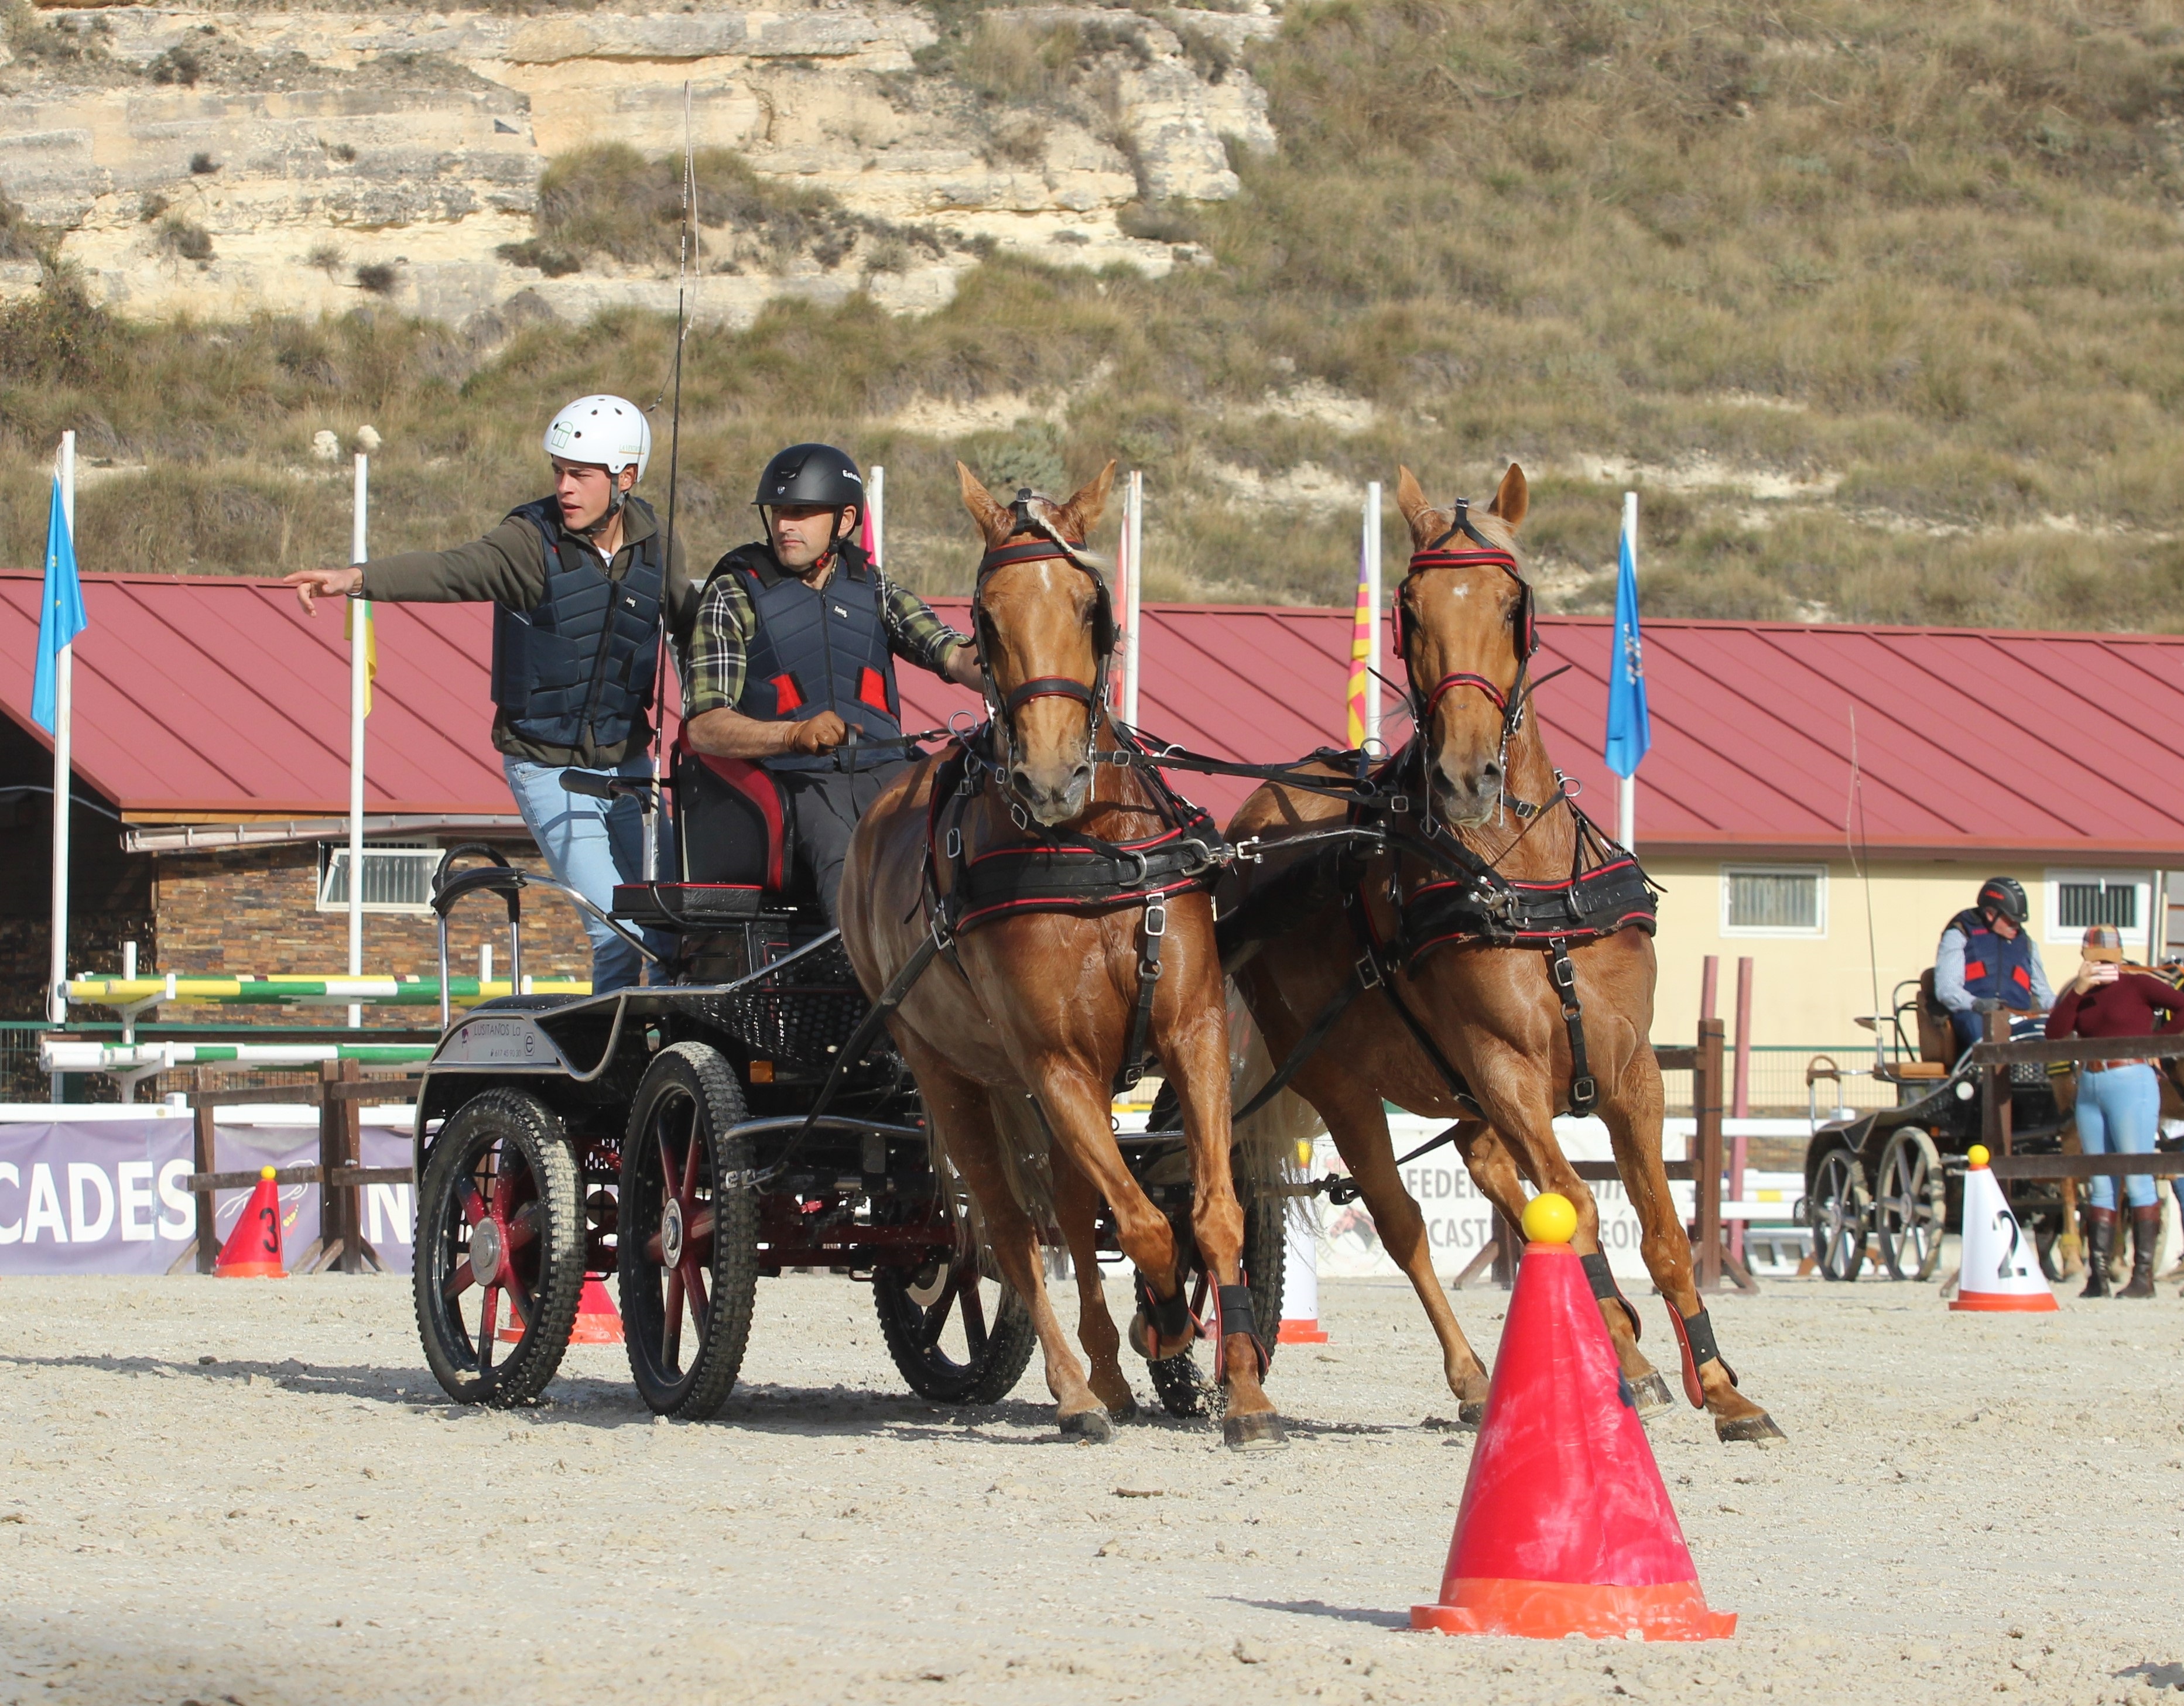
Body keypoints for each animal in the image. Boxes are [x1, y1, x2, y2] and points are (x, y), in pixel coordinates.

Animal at [830, 458, 1275, 1441]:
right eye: (986, 617)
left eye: (1090, 605)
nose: (1048, 779)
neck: (1093, 851)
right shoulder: (1055, 1060)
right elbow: (1142, 1225)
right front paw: (1166, 1320)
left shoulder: (1189, 1033)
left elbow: (1208, 1211)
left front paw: (1242, 1388)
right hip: (950, 1072)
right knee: (1009, 1227)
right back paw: (1078, 1389)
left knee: (1070, 1206)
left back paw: (1108, 1374)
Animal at [1223, 463, 1782, 1441]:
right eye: (1408, 608)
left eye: (1512, 601)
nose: (1465, 776)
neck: (1524, 883)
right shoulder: (1505, 1068)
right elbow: (1579, 1210)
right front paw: (1615, 1366)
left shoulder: (1631, 1069)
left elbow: (1660, 1229)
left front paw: (1719, 1385)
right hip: (1341, 1079)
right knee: (1404, 1220)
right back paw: (1475, 1375)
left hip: (1457, 1086)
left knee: (1495, 1181)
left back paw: (1622, 1343)